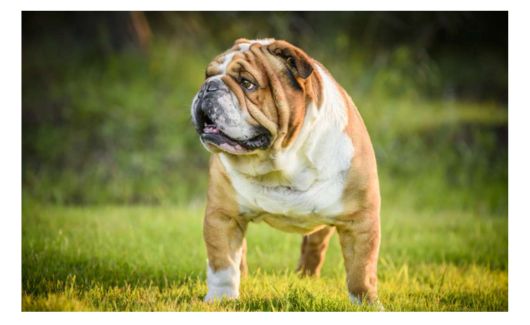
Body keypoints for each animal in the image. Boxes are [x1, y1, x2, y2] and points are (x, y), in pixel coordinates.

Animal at [190, 39, 380, 306]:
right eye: (208, 75)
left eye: (247, 83)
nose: (208, 87)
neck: (282, 161)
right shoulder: (223, 215)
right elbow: (223, 264)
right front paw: (221, 299)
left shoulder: (360, 220)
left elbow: (361, 270)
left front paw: (366, 304)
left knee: (315, 244)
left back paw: (307, 276)